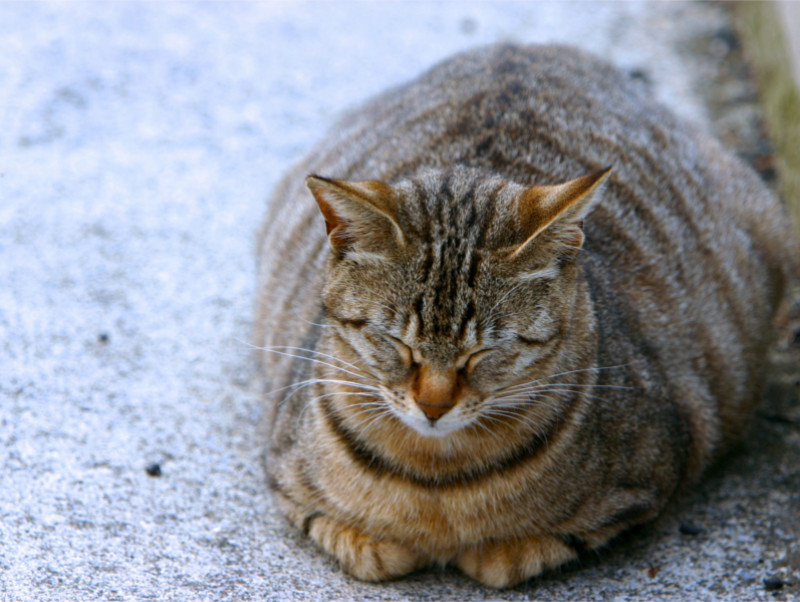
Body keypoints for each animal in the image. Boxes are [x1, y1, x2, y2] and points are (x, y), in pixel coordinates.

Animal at [253, 43, 796, 584]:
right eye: (396, 342)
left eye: (485, 351)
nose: (433, 408)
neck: (436, 480)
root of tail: (521, 46)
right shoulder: (283, 471)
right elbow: (353, 540)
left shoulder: (653, 470)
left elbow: (521, 553)